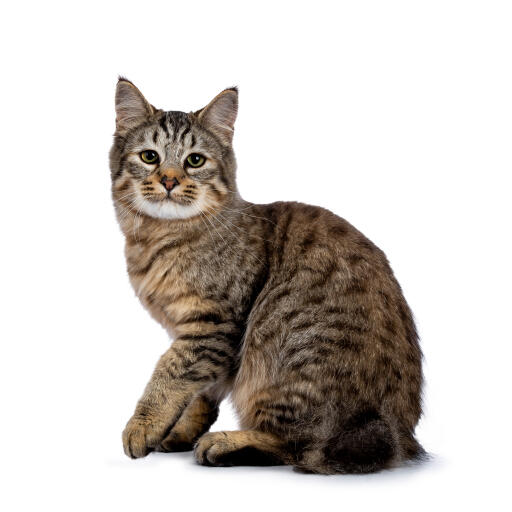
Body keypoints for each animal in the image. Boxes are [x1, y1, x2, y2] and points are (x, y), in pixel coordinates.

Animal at [111, 78, 424, 474]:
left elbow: (170, 375)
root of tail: (401, 437)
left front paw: (144, 426)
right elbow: (200, 394)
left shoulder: (212, 327)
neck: (160, 237)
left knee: (299, 446)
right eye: (150, 157)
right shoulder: (205, 341)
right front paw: (178, 431)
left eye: (194, 160)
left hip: (278, 356)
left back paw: (224, 444)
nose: (169, 180)